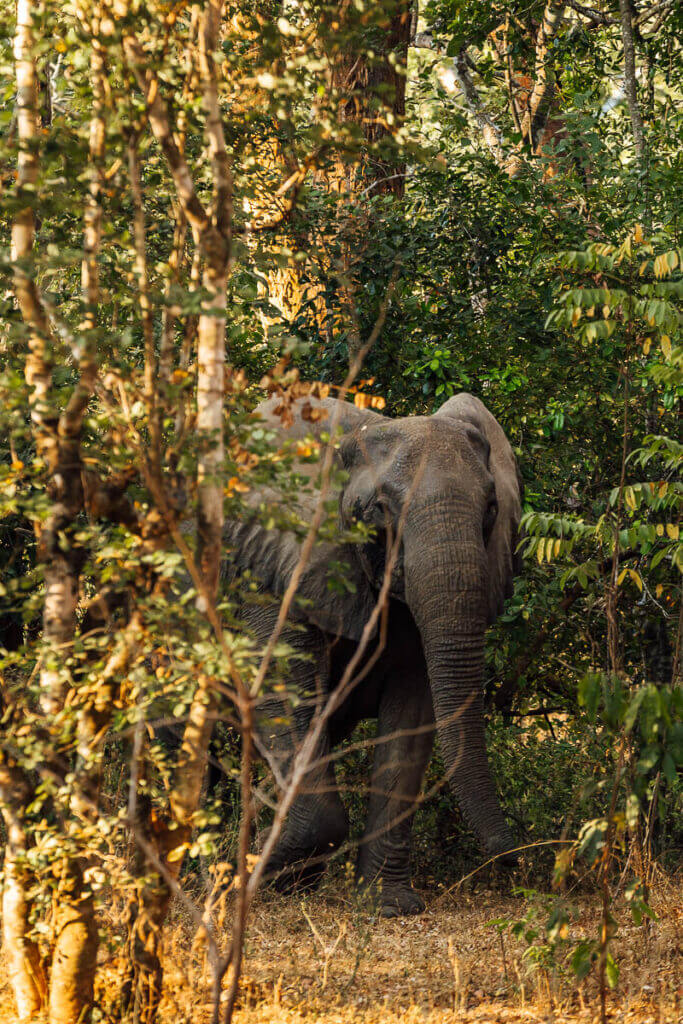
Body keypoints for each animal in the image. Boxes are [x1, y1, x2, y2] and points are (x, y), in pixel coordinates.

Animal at [224, 389, 524, 913]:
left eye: (491, 508)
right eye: (380, 509)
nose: (514, 860)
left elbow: (411, 716)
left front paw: (387, 907)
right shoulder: (270, 566)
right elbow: (282, 688)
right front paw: (252, 877)